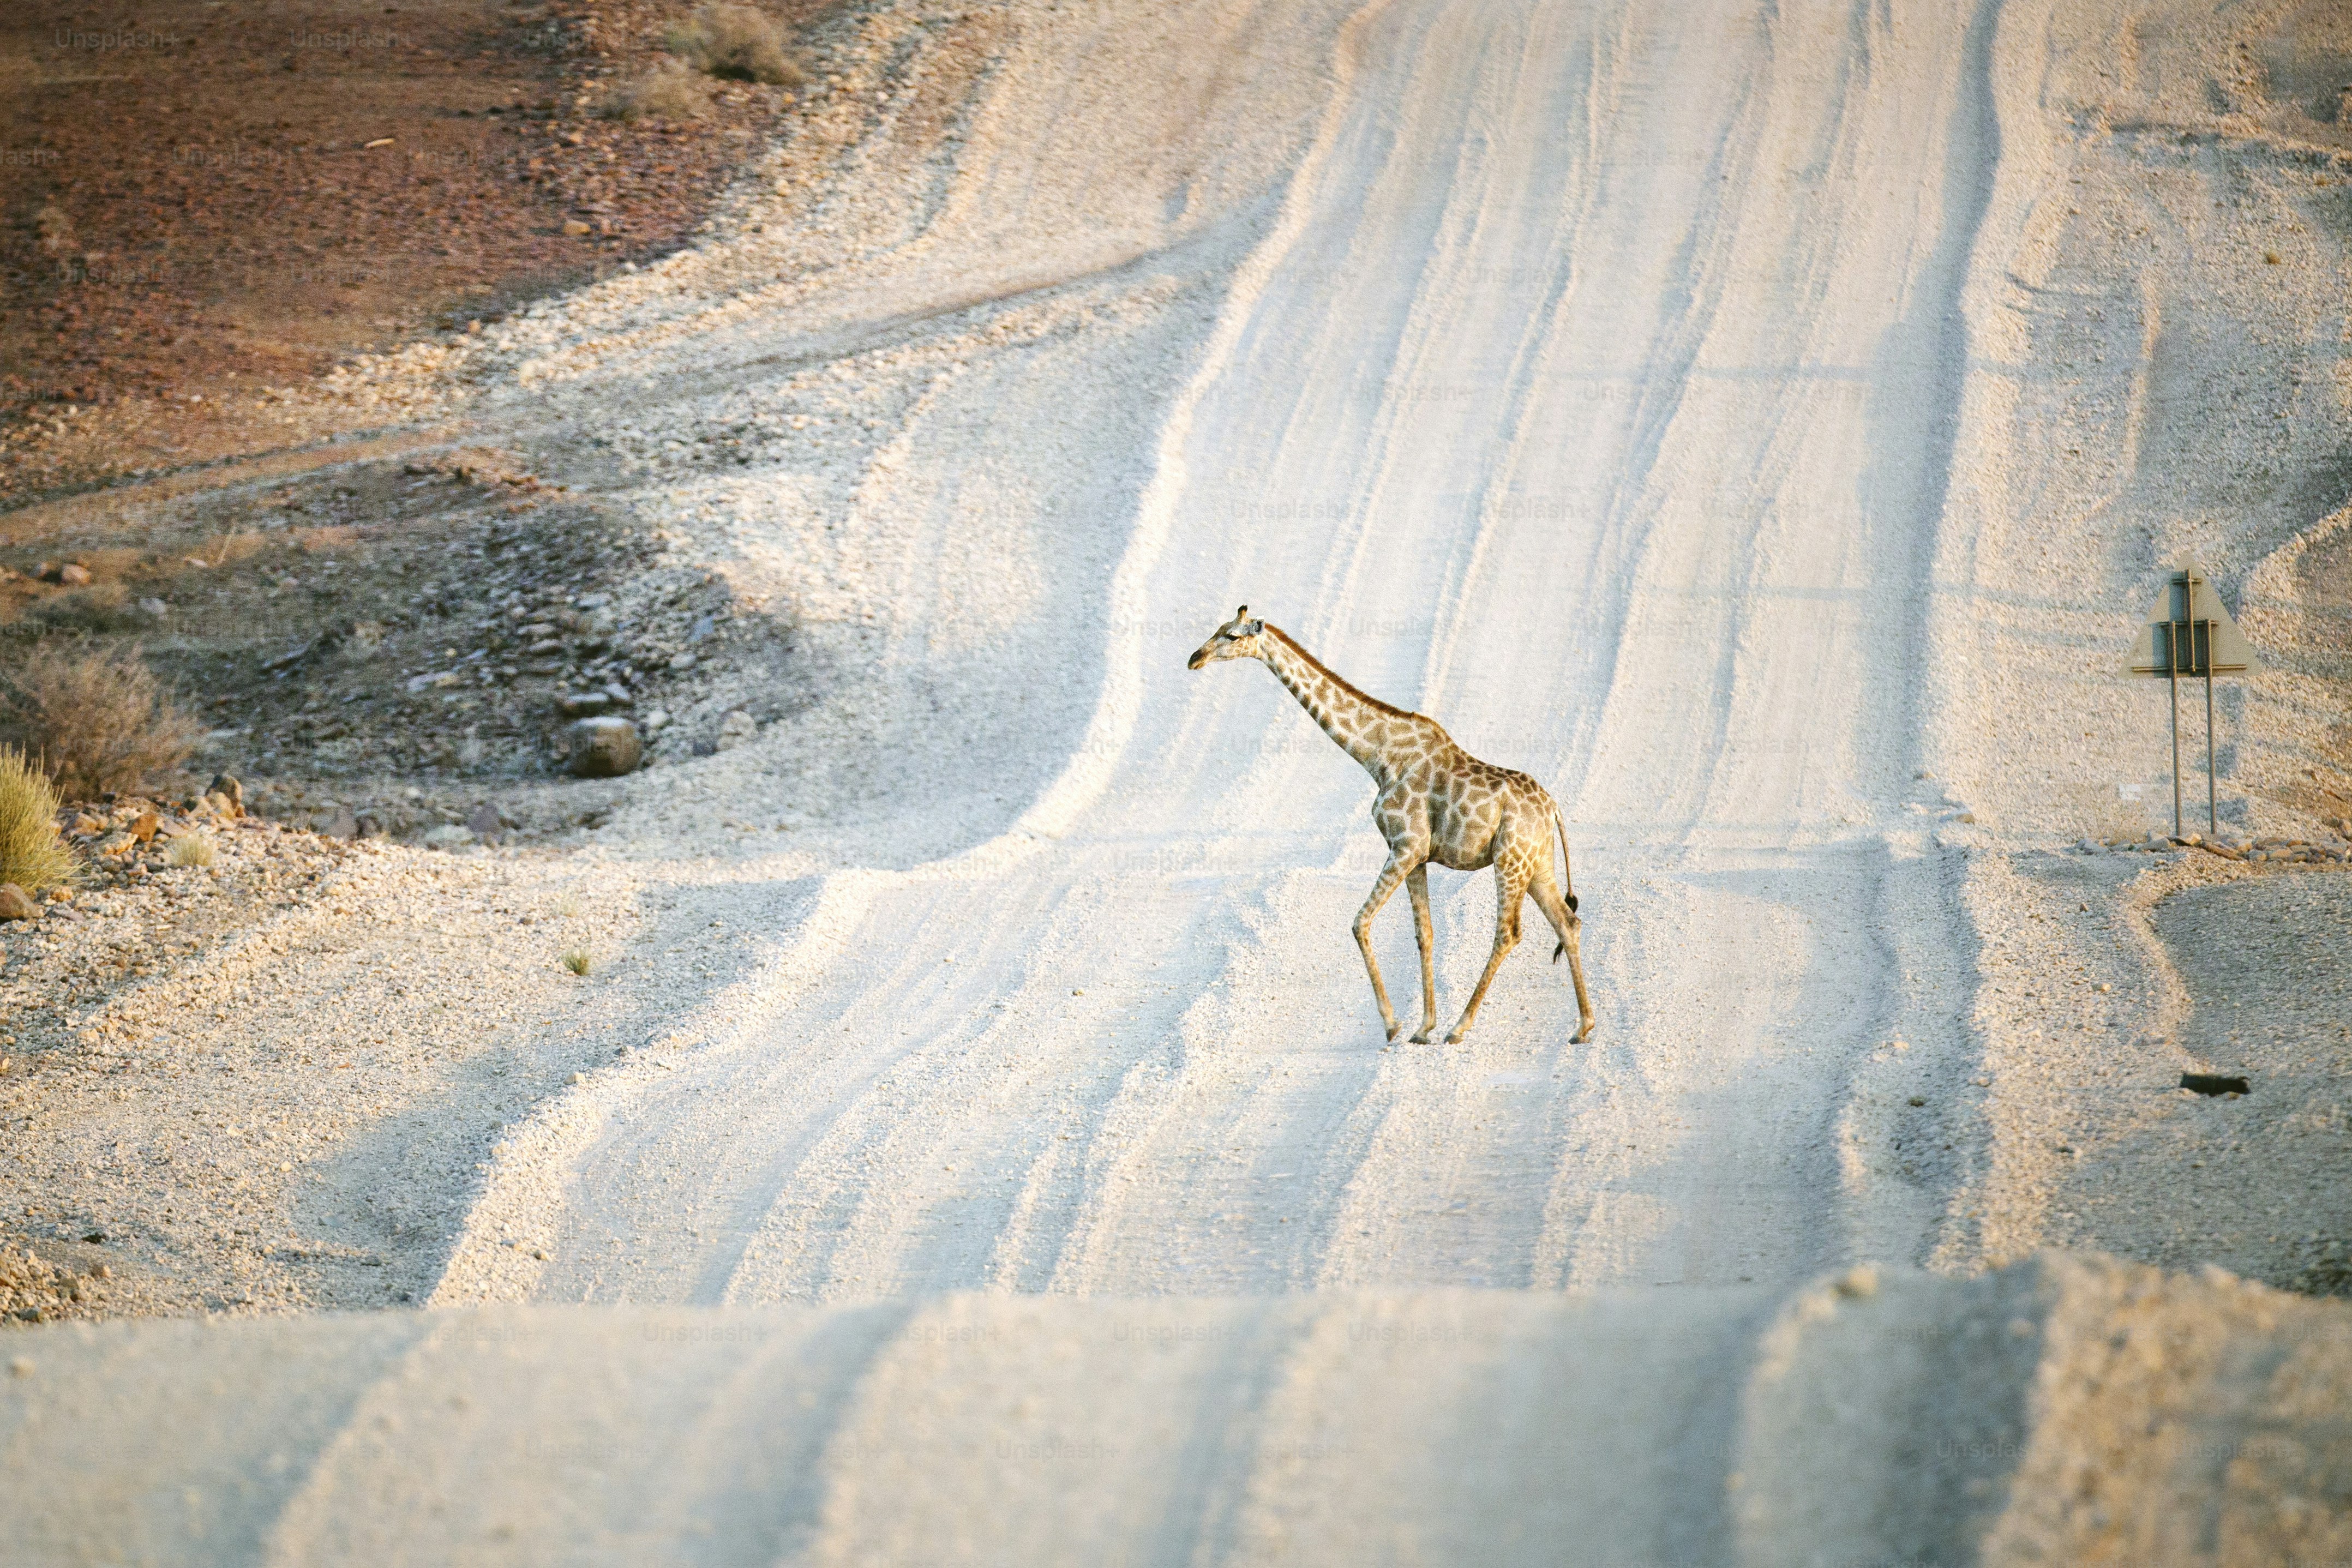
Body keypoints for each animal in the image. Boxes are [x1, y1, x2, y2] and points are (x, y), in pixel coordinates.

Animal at [1188, 606, 1596, 1046]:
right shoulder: (1416, 855)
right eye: (1217, 629)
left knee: (1508, 933)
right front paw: (1422, 1027)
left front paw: (1393, 1024)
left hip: (1510, 860)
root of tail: (1553, 808)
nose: (1194, 658)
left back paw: (1460, 1027)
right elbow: (1424, 934)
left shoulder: (1405, 845)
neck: (1379, 756)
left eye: (1231, 636)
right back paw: (1583, 1028)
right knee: (1568, 922)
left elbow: (1360, 922)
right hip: (1537, 864)